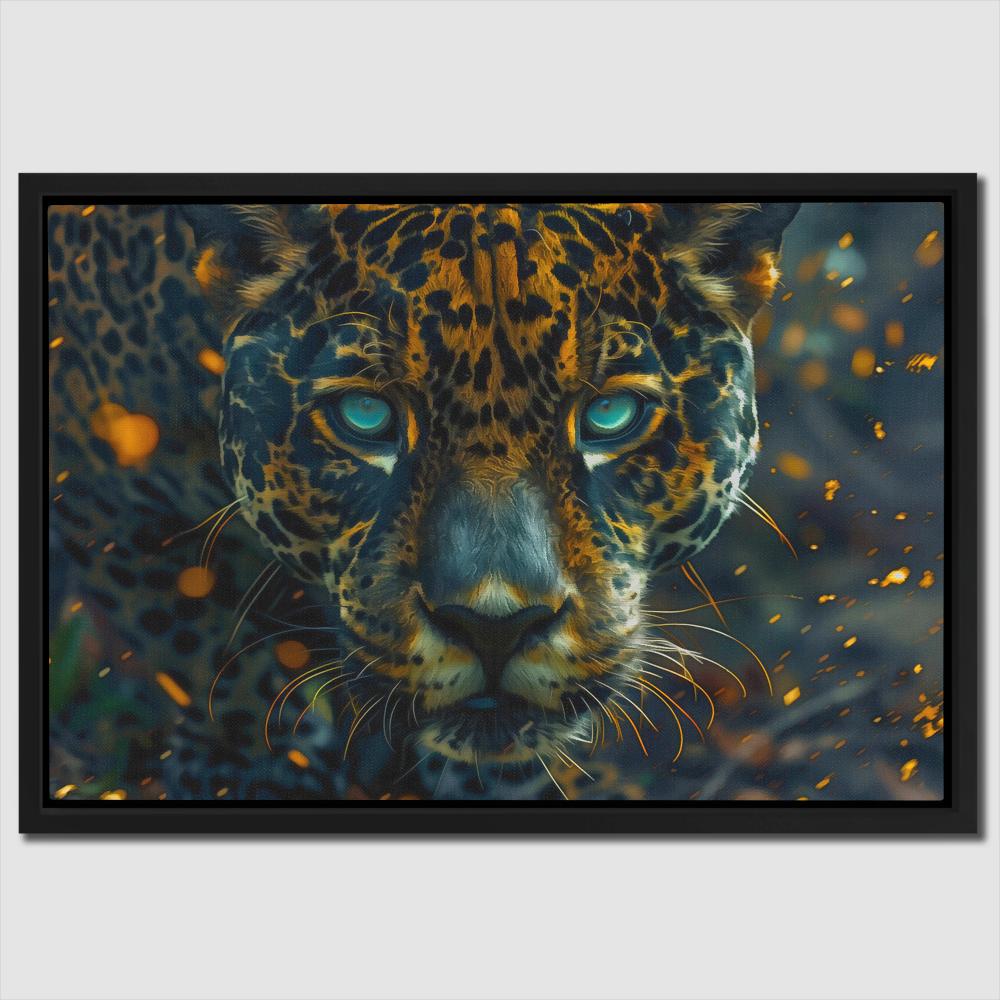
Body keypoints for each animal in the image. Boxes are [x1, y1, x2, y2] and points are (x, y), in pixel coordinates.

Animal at [47, 200, 798, 800]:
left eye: (610, 416)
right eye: (365, 416)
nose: (494, 625)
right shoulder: (104, 497)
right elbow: (209, 653)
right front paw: (261, 771)